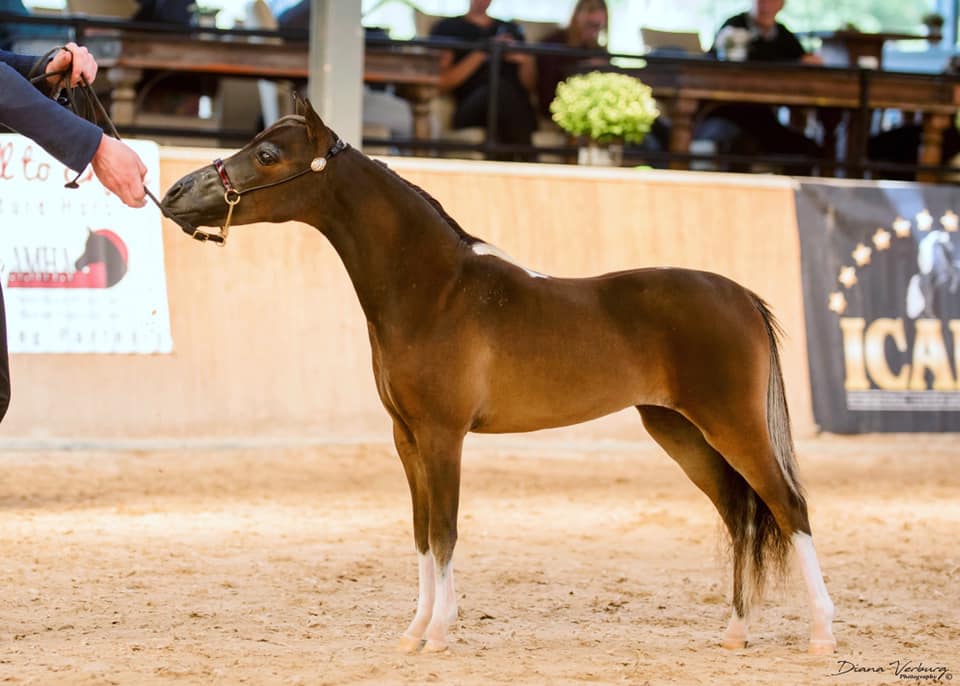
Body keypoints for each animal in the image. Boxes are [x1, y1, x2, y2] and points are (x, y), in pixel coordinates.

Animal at [160, 95, 837, 656]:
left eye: (267, 154)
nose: (174, 192)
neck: (435, 291)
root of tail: (741, 296)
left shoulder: (443, 436)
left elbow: (445, 530)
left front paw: (438, 633)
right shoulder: (407, 439)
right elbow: (421, 533)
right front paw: (414, 632)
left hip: (733, 425)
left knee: (790, 507)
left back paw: (821, 635)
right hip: (680, 431)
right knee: (741, 516)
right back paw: (736, 632)